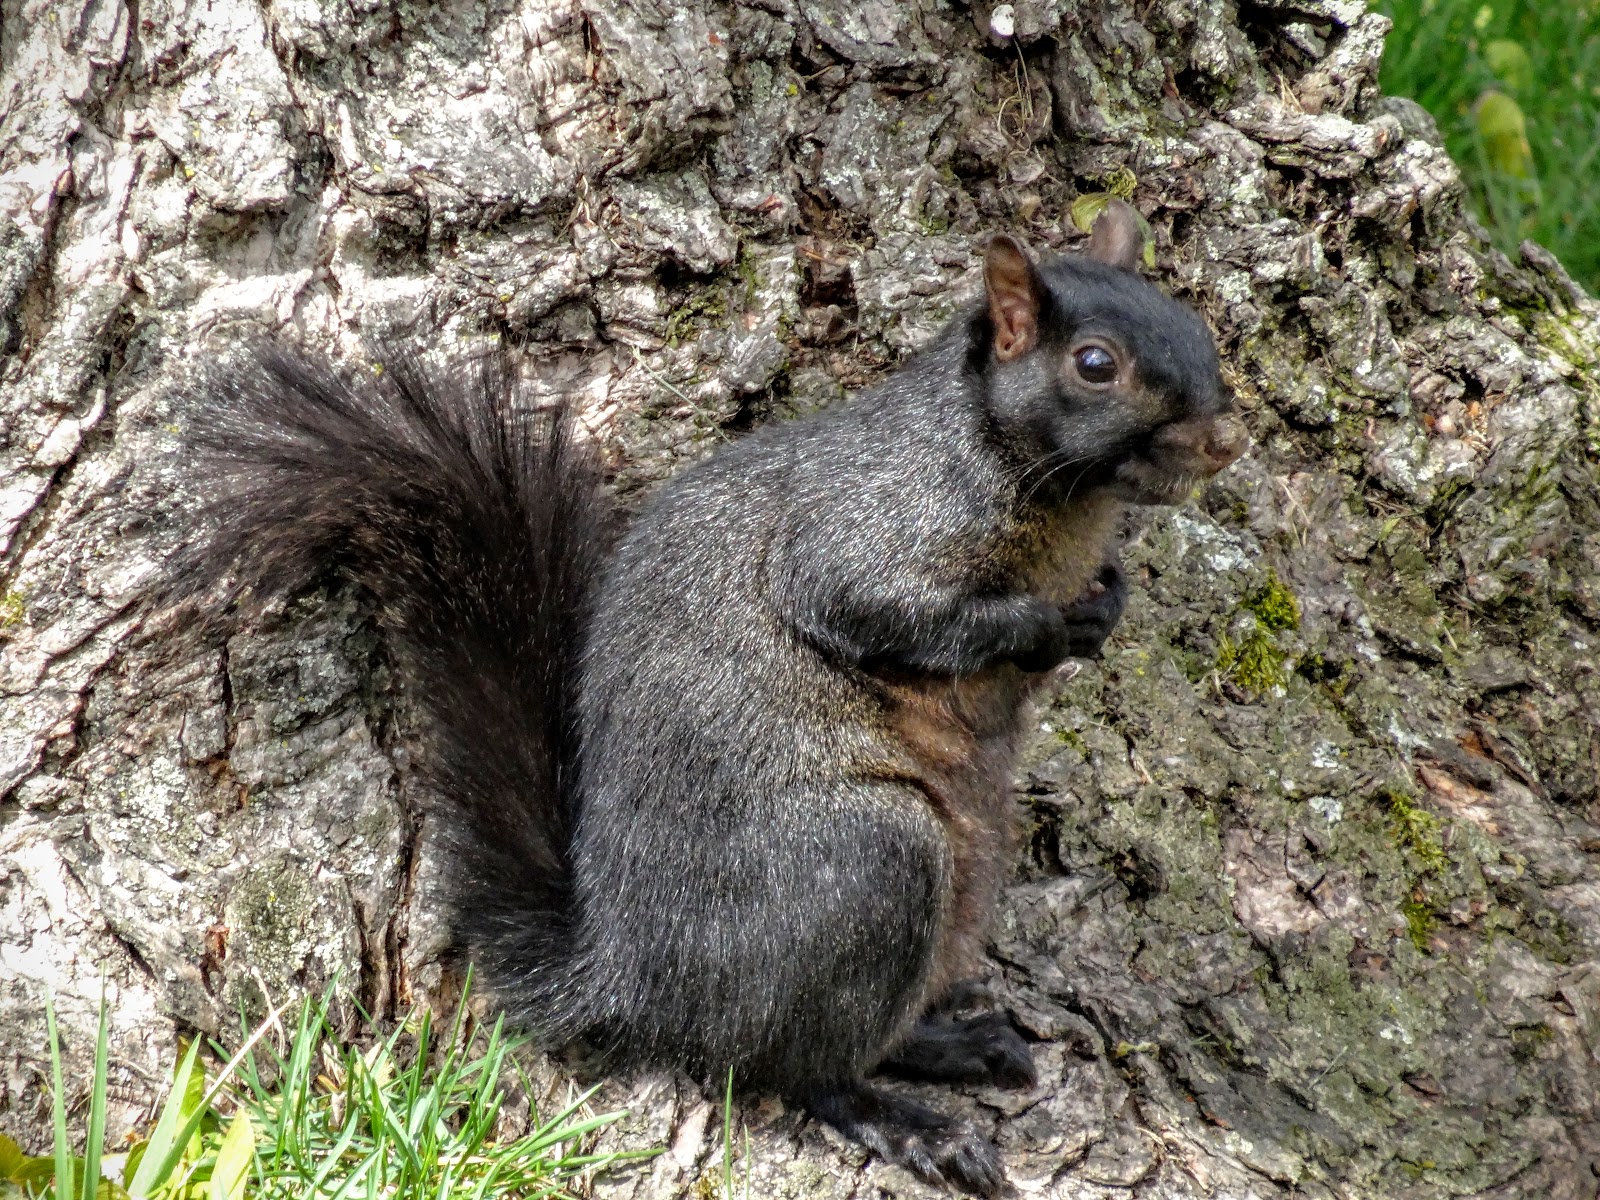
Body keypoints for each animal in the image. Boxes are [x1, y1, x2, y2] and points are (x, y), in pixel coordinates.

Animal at [165, 200, 1245, 1196]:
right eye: (1095, 365)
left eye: (1194, 325)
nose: (1221, 440)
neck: (1053, 499)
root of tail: (637, 983)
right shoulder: (865, 532)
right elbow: (882, 610)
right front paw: (1042, 626)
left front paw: (1105, 605)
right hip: (869, 863)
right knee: (799, 1071)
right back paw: (908, 1120)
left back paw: (950, 1044)